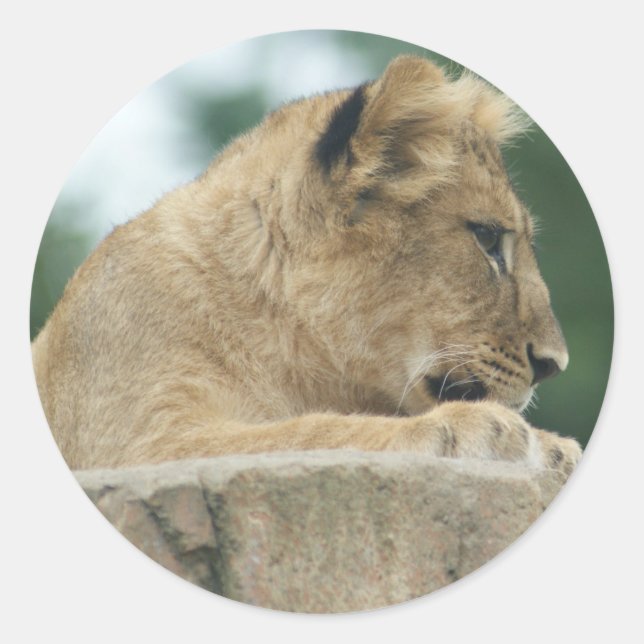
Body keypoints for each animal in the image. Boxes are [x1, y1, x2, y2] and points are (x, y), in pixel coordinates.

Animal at [31, 55, 581, 475]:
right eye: (487, 239)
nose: (554, 365)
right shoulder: (136, 443)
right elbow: (311, 431)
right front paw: (483, 429)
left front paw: (555, 448)